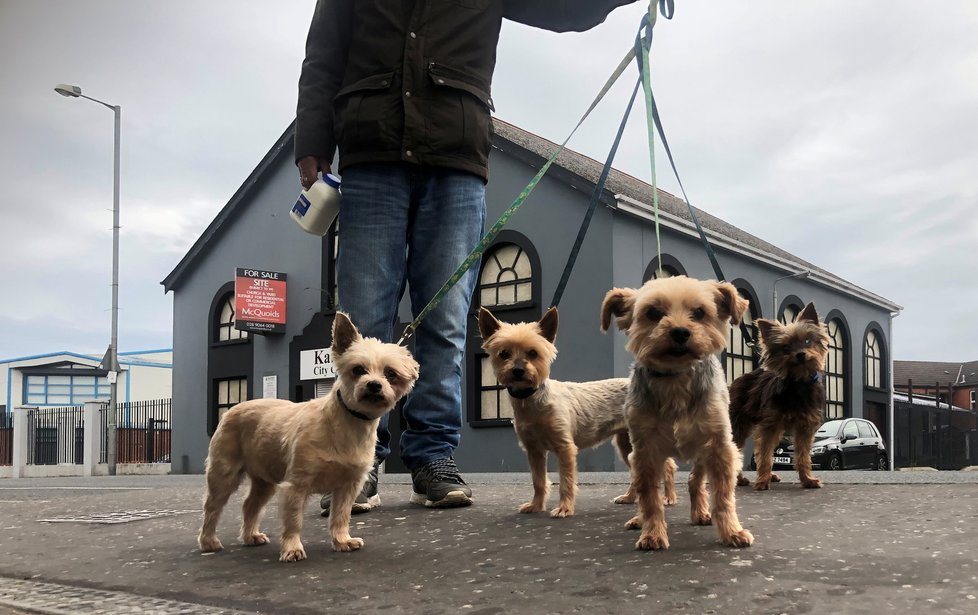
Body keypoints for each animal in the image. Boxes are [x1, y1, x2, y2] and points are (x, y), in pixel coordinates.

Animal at [196, 312, 418, 564]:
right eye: (358, 370)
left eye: (391, 374)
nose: (374, 385)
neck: (348, 423)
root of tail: (233, 408)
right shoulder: (296, 485)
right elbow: (294, 520)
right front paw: (292, 548)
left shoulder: (348, 487)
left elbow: (340, 516)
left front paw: (342, 540)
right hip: (225, 473)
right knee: (212, 507)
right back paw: (208, 541)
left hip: (265, 480)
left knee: (250, 504)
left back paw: (250, 536)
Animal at [476, 308, 676, 520]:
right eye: (504, 354)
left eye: (533, 353)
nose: (518, 370)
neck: (532, 398)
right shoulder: (534, 450)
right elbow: (538, 481)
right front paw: (536, 505)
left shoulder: (565, 448)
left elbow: (566, 481)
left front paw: (564, 508)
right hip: (626, 442)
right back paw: (629, 497)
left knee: (668, 466)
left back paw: (669, 497)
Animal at [604, 276, 756, 552]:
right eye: (653, 313)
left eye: (700, 312)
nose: (680, 332)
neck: (674, 377)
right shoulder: (645, 448)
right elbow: (649, 497)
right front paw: (652, 533)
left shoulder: (718, 446)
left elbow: (723, 496)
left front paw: (732, 531)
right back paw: (638, 519)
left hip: (702, 449)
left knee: (695, 480)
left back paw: (701, 513)